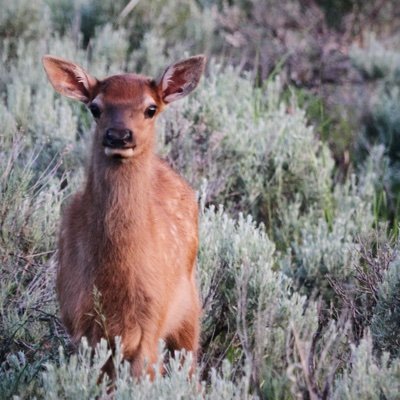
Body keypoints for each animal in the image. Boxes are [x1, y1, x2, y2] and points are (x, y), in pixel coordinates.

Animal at [43, 54, 206, 376]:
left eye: (151, 108)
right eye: (95, 107)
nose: (118, 135)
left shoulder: (150, 325)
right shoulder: (78, 320)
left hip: (188, 308)